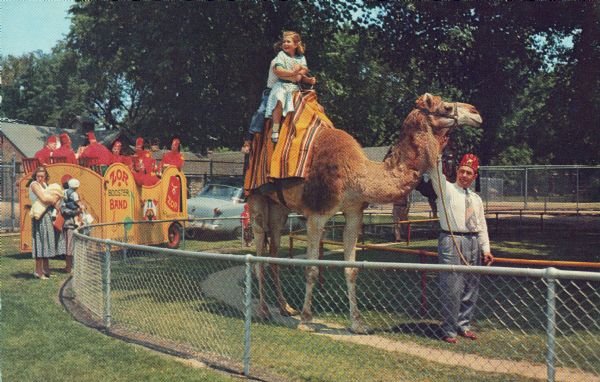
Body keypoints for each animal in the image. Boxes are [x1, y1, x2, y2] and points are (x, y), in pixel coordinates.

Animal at [248, 91, 482, 332]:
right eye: (446, 107)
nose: (476, 112)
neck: (357, 174)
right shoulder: (316, 214)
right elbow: (312, 267)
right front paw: (306, 321)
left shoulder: (354, 213)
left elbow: (351, 269)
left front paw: (358, 323)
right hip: (256, 199)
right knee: (258, 250)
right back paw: (264, 311)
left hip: (279, 209)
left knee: (273, 253)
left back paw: (285, 307)